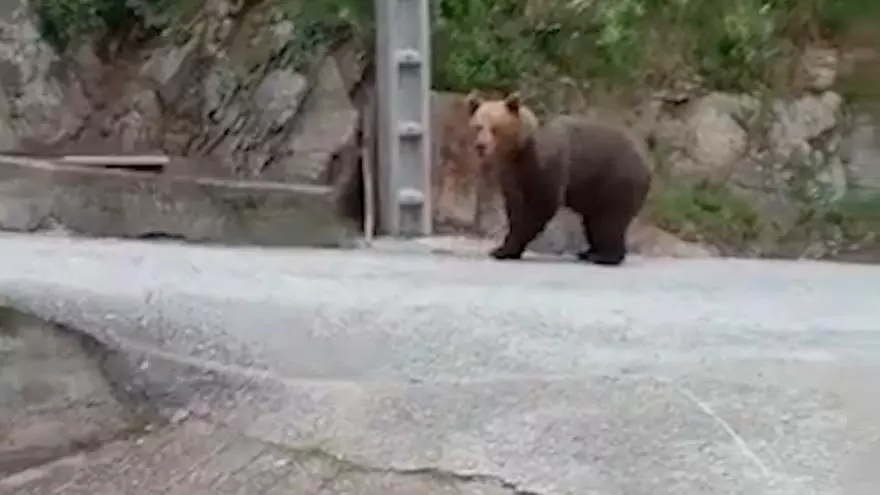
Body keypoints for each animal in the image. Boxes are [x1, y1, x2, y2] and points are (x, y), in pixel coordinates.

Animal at [465, 91, 652, 265]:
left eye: (495, 128)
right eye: (478, 126)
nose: (481, 146)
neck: (518, 151)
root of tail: (646, 161)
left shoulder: (546, 164)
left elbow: (540, 205)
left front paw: (504, 250)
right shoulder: (511, 173)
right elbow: (514, 207)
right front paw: (502, 248)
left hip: (618, 178)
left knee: (610, 220)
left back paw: (604, 256)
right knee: (593, 222)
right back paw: (588, 252)